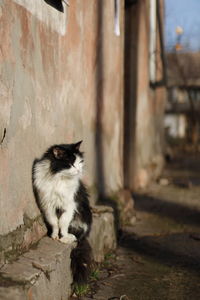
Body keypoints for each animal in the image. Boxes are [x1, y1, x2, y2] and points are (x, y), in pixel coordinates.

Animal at [32, 141, 93, 284]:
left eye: (80, 162)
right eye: (71, 164)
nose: (79, 170)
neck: (59, 178)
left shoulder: (70, 204)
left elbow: (63, 222)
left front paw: (63, 237)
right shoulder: (47, 204)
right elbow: (54, 222)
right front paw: (54, 236)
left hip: (84, 216)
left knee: (78, 235)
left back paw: (70, 238)